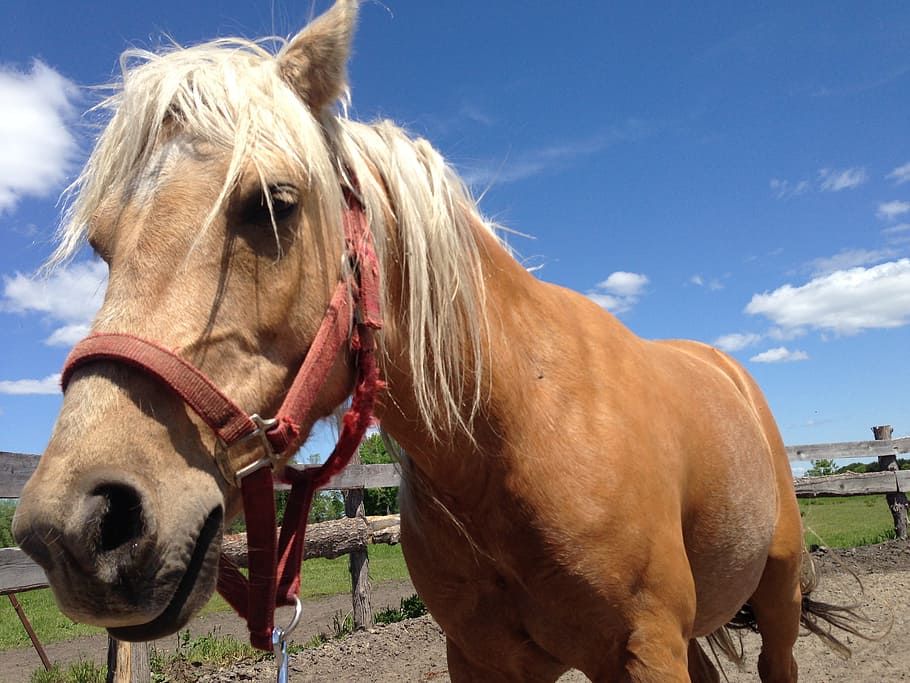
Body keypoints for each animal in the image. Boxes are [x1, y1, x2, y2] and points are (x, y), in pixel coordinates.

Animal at [10, 2, 860, 680]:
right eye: (101, 243)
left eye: (274, 204)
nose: (76, 527)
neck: (515, 432)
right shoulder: (483, 659)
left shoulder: (643, 649)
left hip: (776, 601)